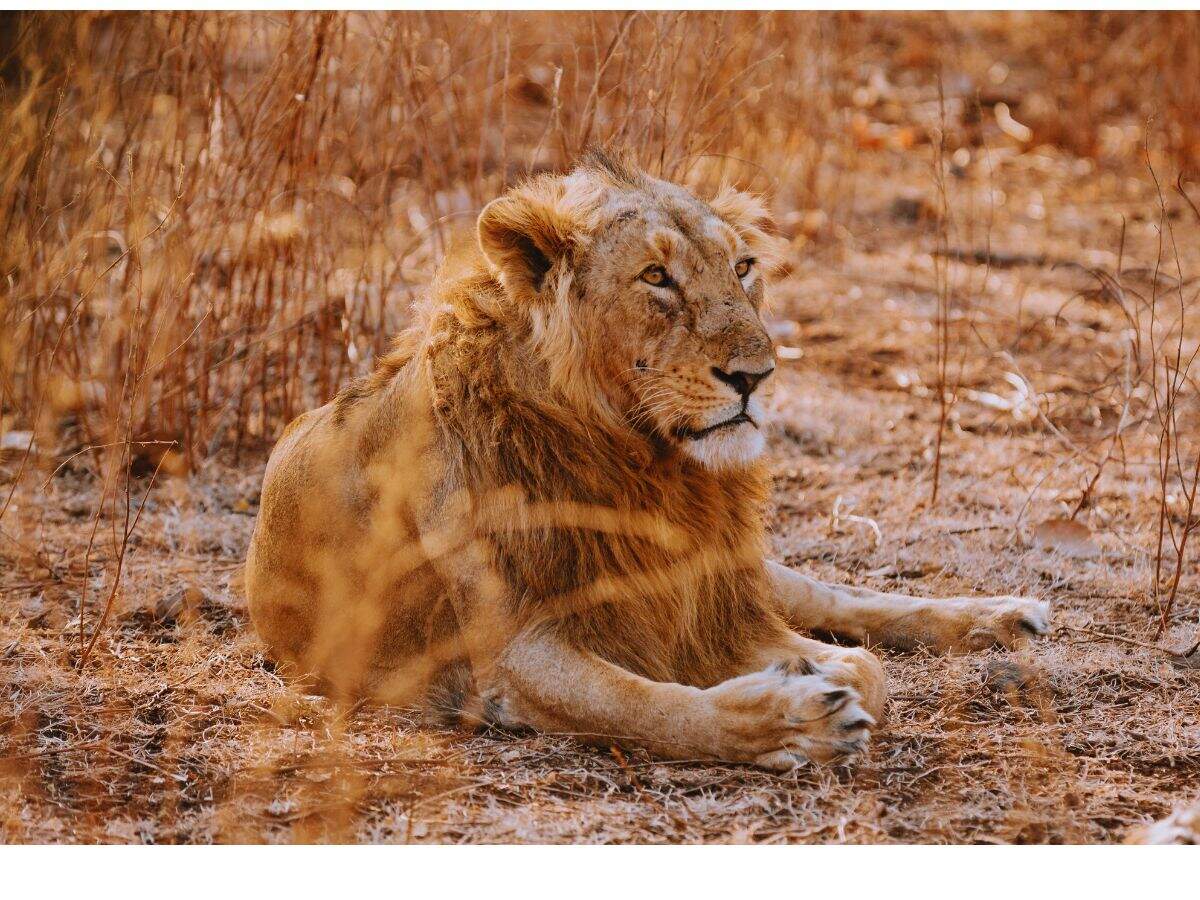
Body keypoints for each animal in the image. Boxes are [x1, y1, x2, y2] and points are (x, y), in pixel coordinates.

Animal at [245, 151, 1050, 770]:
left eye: (744, 266)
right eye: (655, 277)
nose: (758, 375)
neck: (645, 464)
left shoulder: (696, 586)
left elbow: (863, 663)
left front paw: (813, 671)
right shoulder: (514, 652)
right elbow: (649, 705)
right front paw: (790, 720)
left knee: (832, 594)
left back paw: (1003, 616)